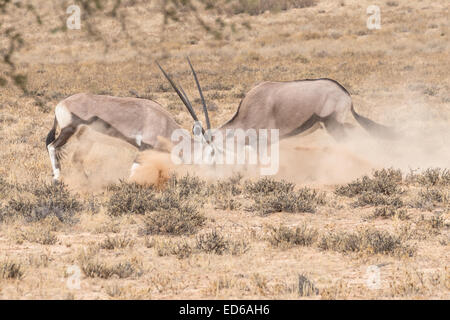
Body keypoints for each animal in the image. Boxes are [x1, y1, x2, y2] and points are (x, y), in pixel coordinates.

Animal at [45, 94, 183, 181]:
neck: (165, 122)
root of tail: (61, 104)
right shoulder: (144, 147)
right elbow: (134, 169)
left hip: (87, 140)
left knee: (76, 159)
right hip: (67, 131)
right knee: (52, 146)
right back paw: (57, 177)